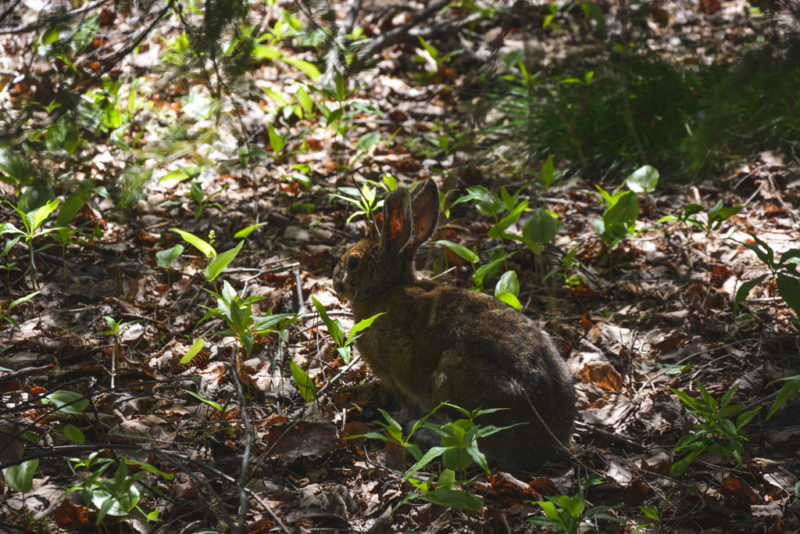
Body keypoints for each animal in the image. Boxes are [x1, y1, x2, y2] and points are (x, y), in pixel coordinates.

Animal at [333, 179, 574, 470]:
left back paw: (424, 431)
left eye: (353, 262)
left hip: (453, 383)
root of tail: (547, 444)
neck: (385, 289)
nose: (335, 279)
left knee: (476, 445)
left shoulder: (396, 377)